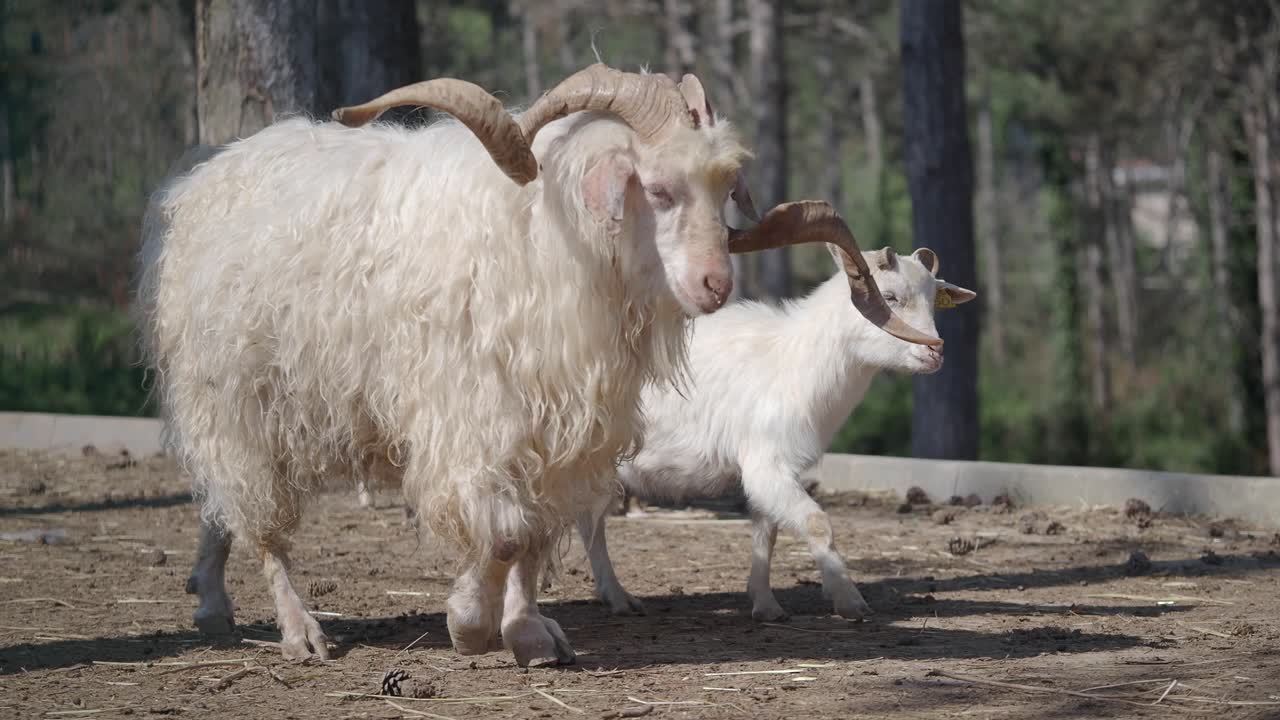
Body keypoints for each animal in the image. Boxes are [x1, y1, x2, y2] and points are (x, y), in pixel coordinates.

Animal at [573, 241, 973, 620]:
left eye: (934, 300)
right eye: (889, 296)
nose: (934, 353)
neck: (791, 359)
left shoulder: (770, 469)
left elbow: (767, 532)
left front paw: (766, 605)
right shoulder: (766, 463)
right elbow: (817, 523)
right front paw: (849, 600)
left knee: (589, 523)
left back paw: (617, 597)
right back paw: (613, 598)